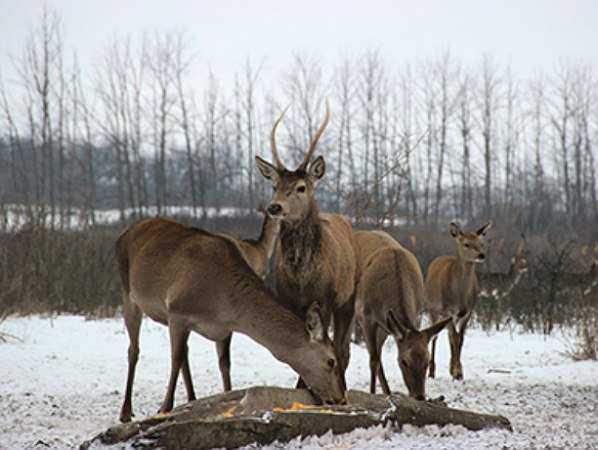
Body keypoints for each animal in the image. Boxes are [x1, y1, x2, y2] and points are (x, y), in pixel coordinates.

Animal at [115, 216, 344, 424]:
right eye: (331, 361)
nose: (341, 398)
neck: (223, 303)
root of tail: (125, 233)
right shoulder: (178, 312)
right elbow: (175, 358)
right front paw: (164, 408)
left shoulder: (223, 328)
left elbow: (224, 363)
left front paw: (227, 399)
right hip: (129, 295)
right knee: (134, 350)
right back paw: (126, 411)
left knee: (185, 354)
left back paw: (192, 398)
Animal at [255, 100, 358, 388]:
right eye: (275, 185)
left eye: (301, 187)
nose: (275, 207)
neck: (302, 277)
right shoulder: (288, 300)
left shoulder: (325, 299)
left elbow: (328, 348)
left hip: (350, 298)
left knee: (344, 348)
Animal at [354, 230, 452, 400]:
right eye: (403, 361)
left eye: (427, 361)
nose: (419, 396)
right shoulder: (367, 318)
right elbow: (372, 360)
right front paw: (372, 394)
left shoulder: (413, 315)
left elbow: (377, 358)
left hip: (385, 328)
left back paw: (388, 392)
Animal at [426, 221, 492, 380]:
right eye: (466, 244)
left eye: (481, 243)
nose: (481, 255)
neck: (459, 296)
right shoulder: (447, 310)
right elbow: (455, 338)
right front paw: (457, 371)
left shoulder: (468, 312)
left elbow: (460, 338)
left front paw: (458, 370)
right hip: (432, 309)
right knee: (435, 336)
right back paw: (431, 371)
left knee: (449, 336)